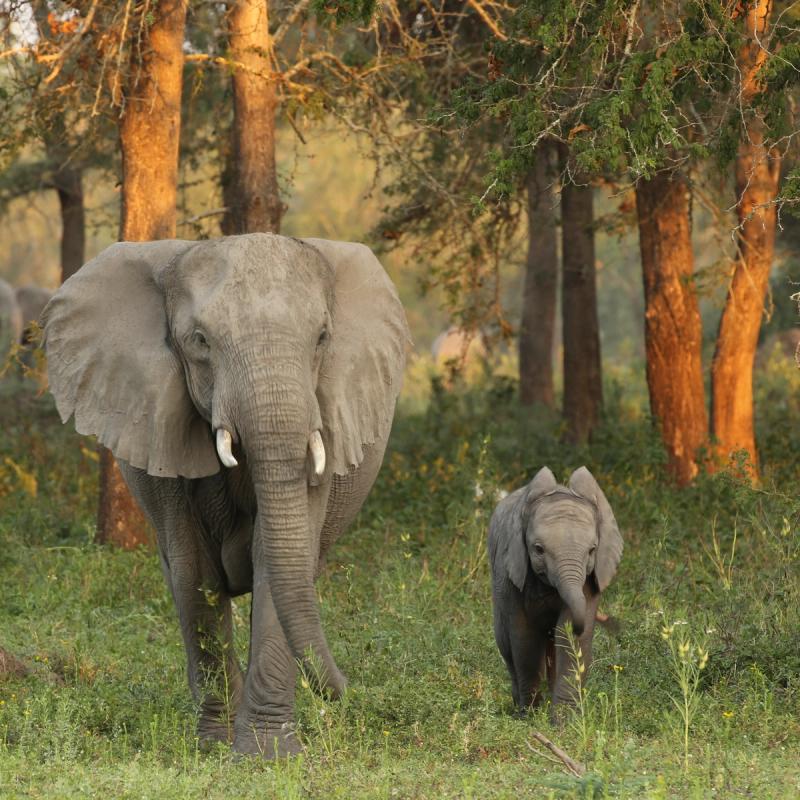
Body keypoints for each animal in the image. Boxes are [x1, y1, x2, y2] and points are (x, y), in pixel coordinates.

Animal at [42, 233, 410, 758]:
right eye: (200, 341)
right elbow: (195, 573)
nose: (346, 689)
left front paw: (267, 754)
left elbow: (276, 561)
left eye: (322, 337)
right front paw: (216, 748)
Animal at [488, 466, 622, 714]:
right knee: (505, 642)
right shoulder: (512, 570)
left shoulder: (590, 578)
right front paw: (529, 715)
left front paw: (565, 720)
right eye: (538, 549)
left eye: (592, 550)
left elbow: (568, 638)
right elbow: (524, 636)